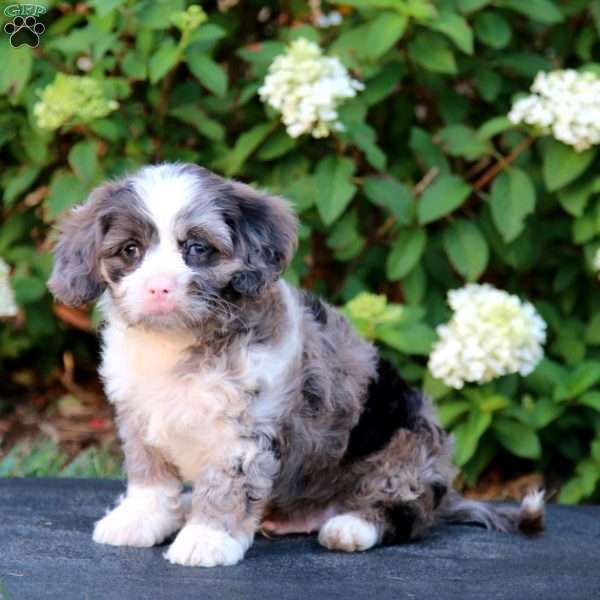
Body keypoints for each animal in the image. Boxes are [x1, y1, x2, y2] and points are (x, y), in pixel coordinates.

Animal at [48, 164, 544, 568]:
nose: (158, 289)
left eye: (198, 249)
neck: (178, 341)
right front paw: (139, 519)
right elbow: (150, 477)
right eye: (131, 251)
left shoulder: (243, 432)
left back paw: (351, 525)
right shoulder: (139, 416)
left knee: (407, 511)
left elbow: (227, 486)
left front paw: (207, 539)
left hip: (406, 452)